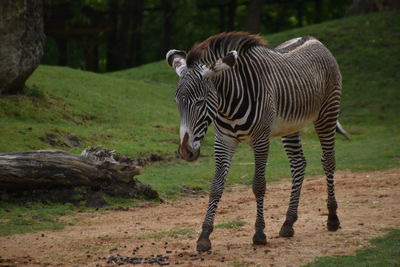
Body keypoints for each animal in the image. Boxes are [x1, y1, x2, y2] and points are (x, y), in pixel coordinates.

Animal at [165, 32, 346, 252]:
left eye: (200, 102)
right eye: (177, 103)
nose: (185, 152)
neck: (228, 105)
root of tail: (312, 38)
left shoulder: (260, 140)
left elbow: (258, 185)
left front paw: (259, 233)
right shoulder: (223, 140)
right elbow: (216, 186)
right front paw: (204, 236)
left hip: (327, 113)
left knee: (328, 161)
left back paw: (332, 218)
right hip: (291, 126)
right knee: (298, 164)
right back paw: (288, 222)